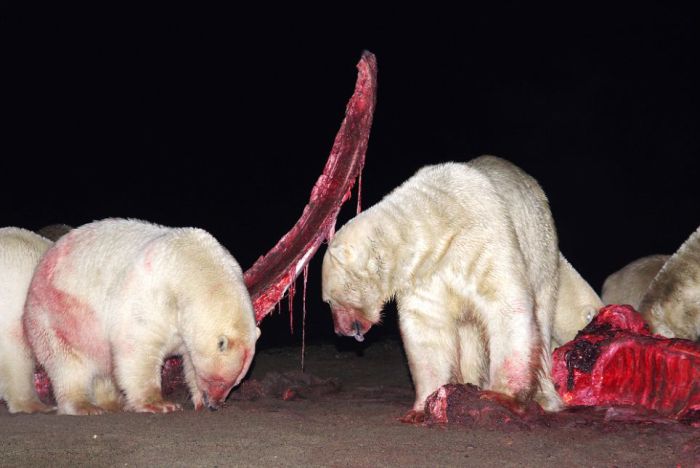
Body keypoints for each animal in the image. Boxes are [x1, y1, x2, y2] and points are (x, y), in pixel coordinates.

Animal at [24, 218, 262, 414]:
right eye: (220, 381)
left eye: (235, 383)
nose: (215, 405)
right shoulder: (152, 295)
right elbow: (139, 347)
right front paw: (160, 404)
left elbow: (189, 357)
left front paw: (196, 399)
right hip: (60, 314)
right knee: (68, 363)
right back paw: (84, 405)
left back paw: (113, 402)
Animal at [322, 154, 564, 420]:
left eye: (329, 300)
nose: (338, 331)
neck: (438, 220)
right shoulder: (424, 274)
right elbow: (428, 327)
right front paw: (423, 407)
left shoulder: (483, 241)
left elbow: (506, 305)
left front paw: (501, 397)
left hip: (541, 251)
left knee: (542, 317)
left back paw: (546, 397)